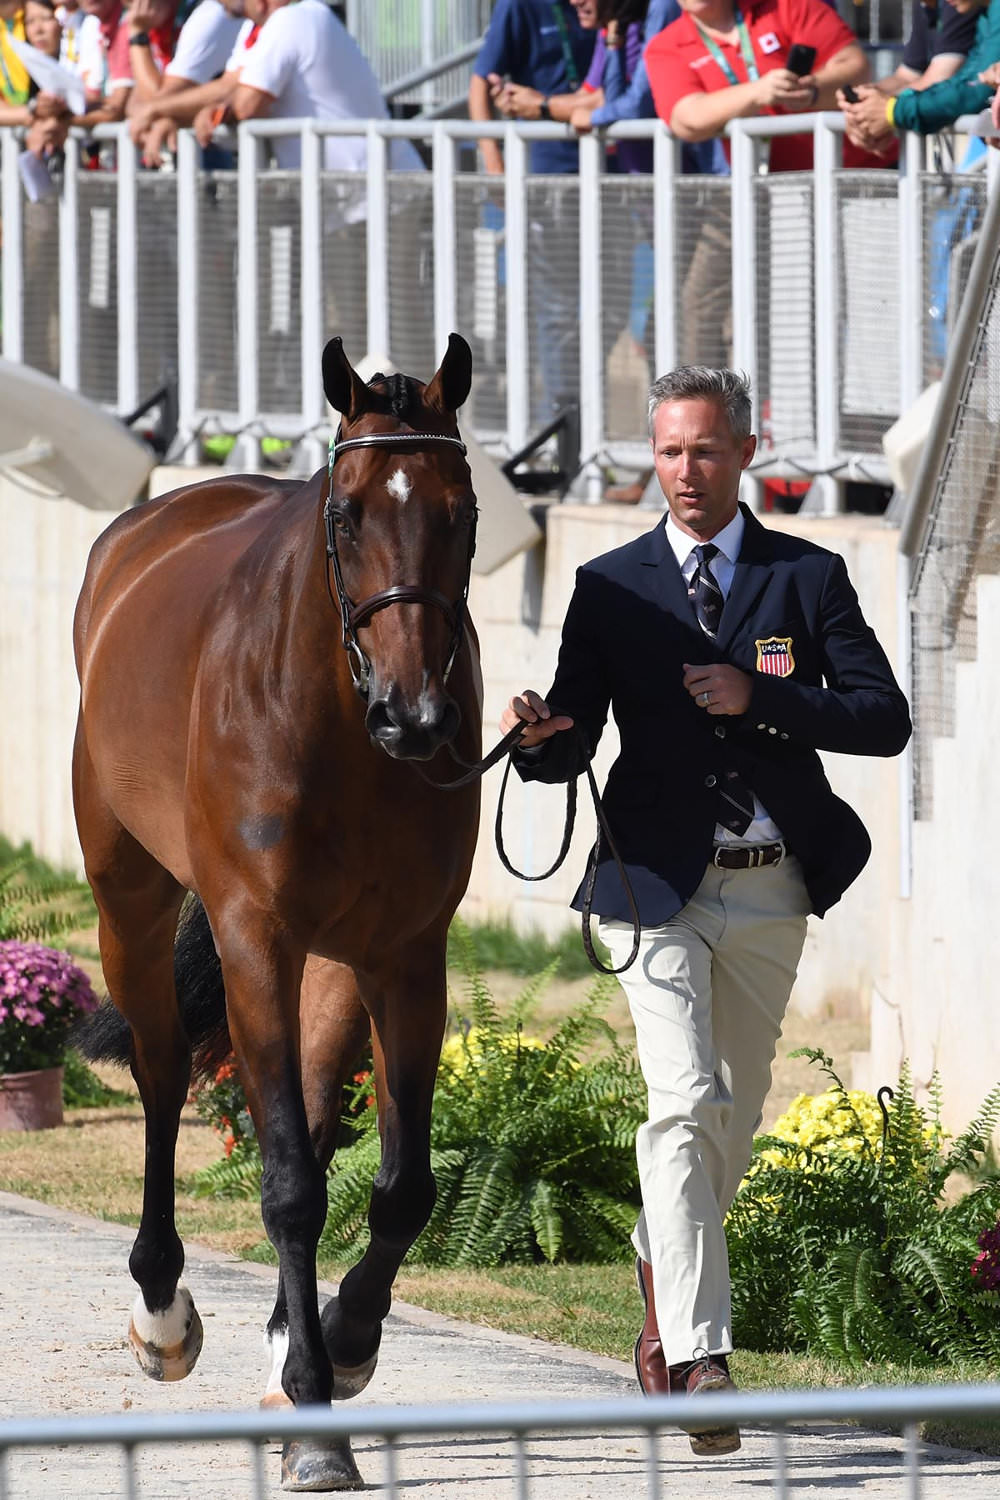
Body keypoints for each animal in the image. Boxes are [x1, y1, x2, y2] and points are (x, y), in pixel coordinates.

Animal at [69, 337, 479, 1488]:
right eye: (347, 512)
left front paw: (339, 1343)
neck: (340, 726)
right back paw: (162, 1309)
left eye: (461, 508)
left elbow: (399, 1186)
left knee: (310, 1105)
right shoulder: (255, 937)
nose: (415, 714)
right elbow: (290, 1180)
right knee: (165, 1072)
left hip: (332, 964)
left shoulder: (403, 955)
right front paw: (314, 1416)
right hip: (131, 898)